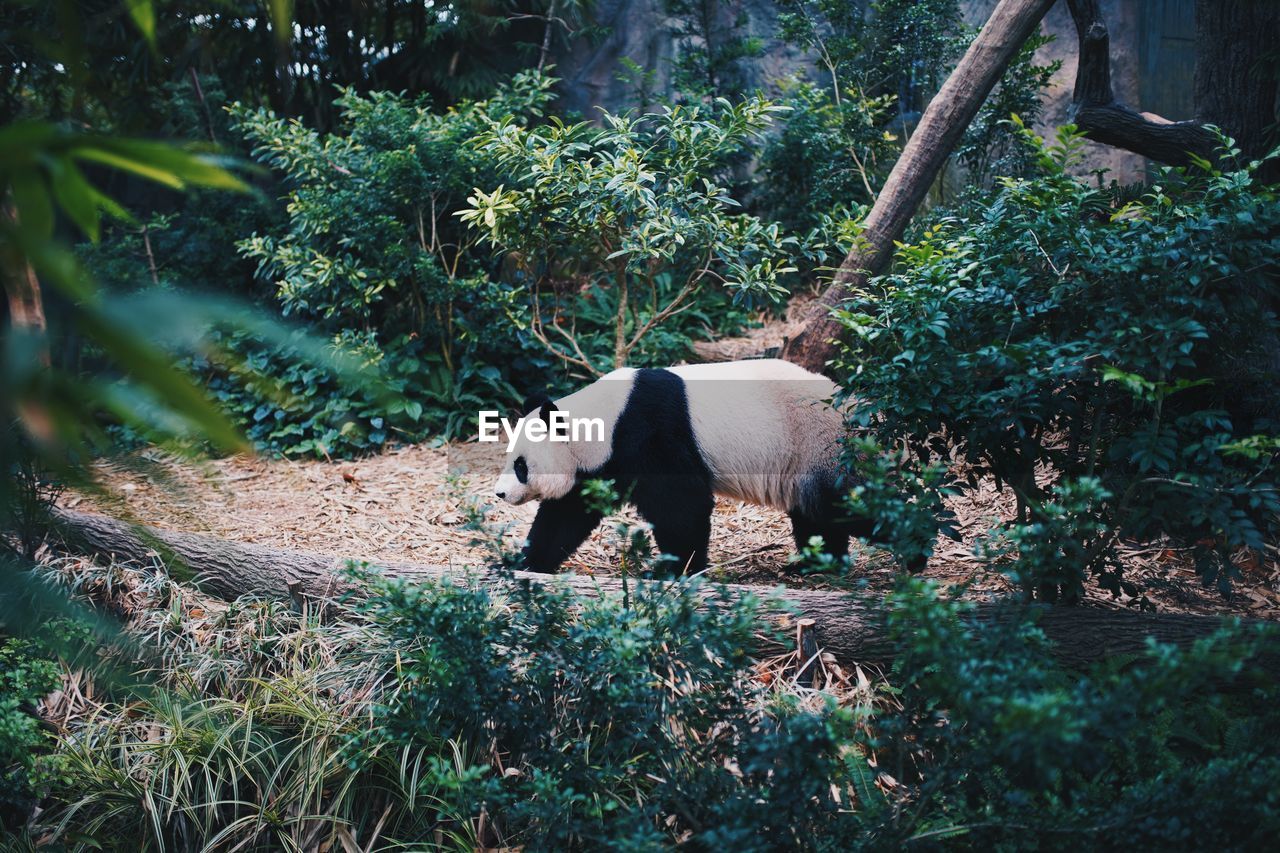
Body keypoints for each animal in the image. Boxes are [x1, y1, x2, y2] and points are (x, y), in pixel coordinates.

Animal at [491, 356, 880, 573]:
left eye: (521, 465)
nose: (499, 494)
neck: (603, 417)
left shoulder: (649, 431)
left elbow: (680, 506)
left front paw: (674, 570)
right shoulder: (600, 463)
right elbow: (566, 516)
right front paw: (521, 563)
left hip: (819, 444)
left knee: (851, 505)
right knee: (817, 516)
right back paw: (817, 565)